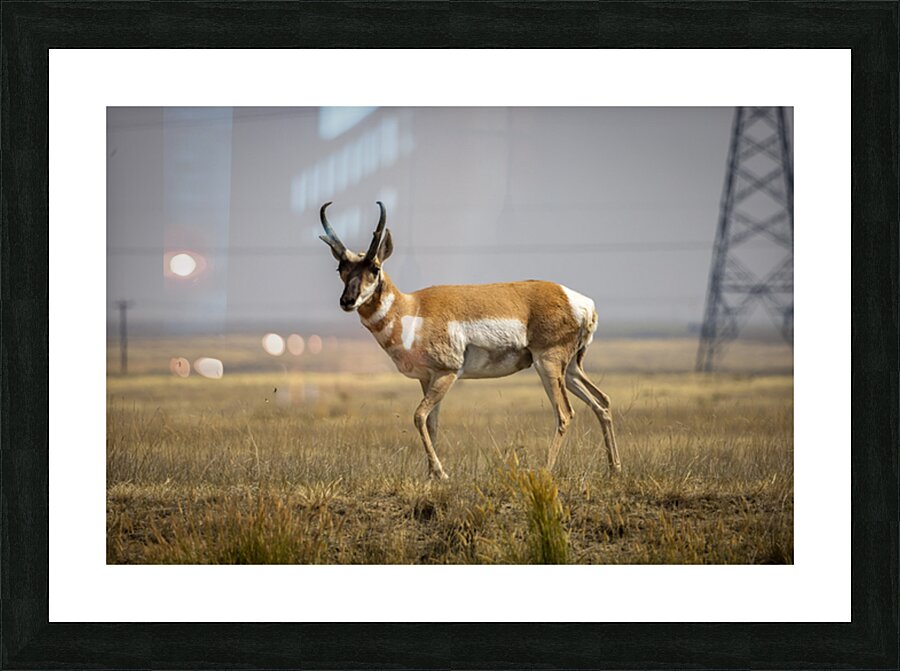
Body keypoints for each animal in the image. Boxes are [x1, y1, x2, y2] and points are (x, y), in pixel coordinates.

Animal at [319, 201, 621, 480]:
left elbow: (418, 416)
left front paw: (440, 473)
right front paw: (431, 476)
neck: (412, 308)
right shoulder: (426, 378)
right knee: (602, 401)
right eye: (340, 267)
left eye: (374, 267)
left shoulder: (447, 374)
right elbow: (431, 423)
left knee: (565, 414)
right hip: (569, 369)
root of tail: (579, 301)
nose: (347, 301)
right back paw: (614, 468)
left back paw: (544, 471)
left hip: (548, 364)